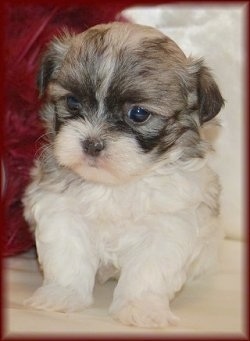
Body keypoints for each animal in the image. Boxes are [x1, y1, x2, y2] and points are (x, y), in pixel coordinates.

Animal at [23, 21, 225, 326]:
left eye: (139, 114)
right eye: (72, 102)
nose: (92, 143)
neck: (115, 185)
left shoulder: (167, 224)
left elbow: (148, 271)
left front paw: (141, 308)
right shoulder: (62, 211)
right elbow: (67, 256)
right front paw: (62, 295)